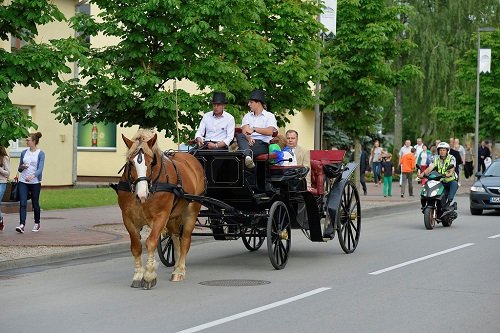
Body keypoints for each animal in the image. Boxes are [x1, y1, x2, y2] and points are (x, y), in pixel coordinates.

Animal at [117, 129, 205, 288]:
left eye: (151, 162)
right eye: (131, 163)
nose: (141, 194)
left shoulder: (160, 216)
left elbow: (151, 241)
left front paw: (149, 275)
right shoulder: (128, 218)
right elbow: (136, 246)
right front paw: (138, 275)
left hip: (192, 210)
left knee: (185, 239)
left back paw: (179, 270)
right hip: (173, 216)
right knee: (175, 236)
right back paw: (176, 265)